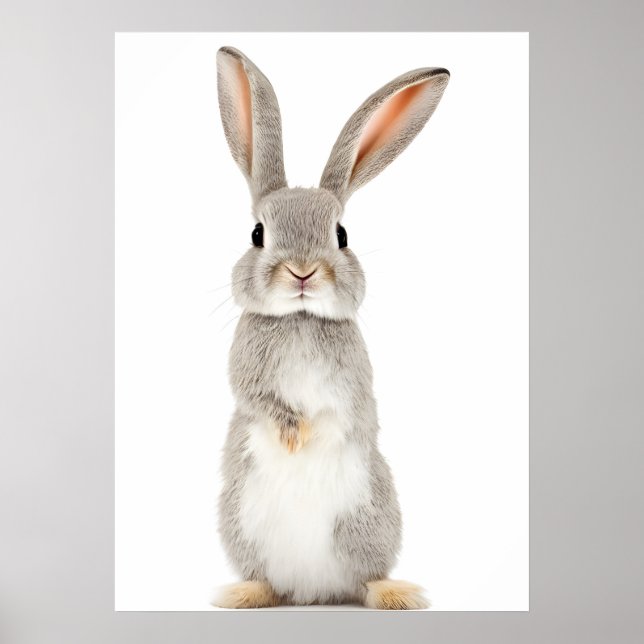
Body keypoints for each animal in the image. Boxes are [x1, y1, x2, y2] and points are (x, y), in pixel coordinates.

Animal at [212, 46, 449, 609]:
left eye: (341, 234)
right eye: (257, 233)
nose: (303, 272)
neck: (299, 318)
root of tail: (311, 590)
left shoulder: (352, 380)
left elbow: (344, 411)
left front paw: (311, 434)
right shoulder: (248, 372)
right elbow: (260, 399)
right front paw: (292, 436)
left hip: (369, 521)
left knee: (366, 577)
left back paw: (396, 593)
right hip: (241, 524)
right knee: (265, 578)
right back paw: (244, 593)